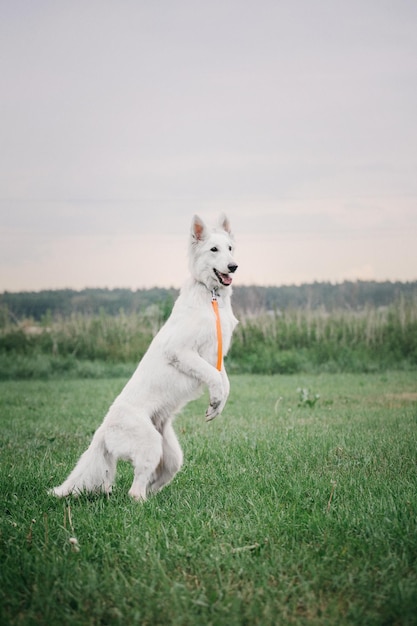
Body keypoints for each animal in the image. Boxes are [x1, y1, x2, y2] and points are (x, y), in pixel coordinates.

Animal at [51, 216, 239, 502]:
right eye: (213, 250)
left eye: (229, 248)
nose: (233, 266)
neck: (211, 295)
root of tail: (103, 430)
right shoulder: (181, 352)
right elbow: (212, 376)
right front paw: (215, 400)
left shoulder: (217, 356)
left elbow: (223, 380)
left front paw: (217, 405)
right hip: (150, 445)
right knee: (134, 490)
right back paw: (142, 503)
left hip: (171, 456)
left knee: (152, 481)